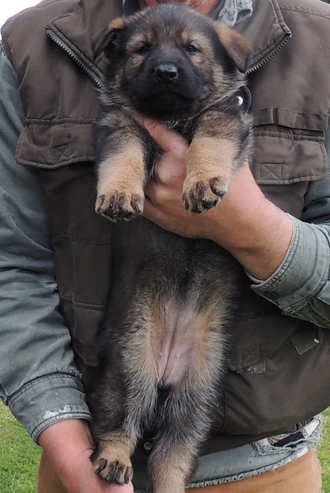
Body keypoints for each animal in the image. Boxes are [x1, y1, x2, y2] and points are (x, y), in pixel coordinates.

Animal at [90, 4, 253, 492]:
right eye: (142, 49)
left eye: (192, 49)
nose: (166, 72)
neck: (173, 117)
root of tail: (164, 372)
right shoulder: (119, 126)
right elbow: (122, 155)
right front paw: (119, 193)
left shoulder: (224, 118)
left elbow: (210, 141)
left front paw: (202, 180)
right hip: (130, 364)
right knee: (117, 424)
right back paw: (114, 459)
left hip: (199, 394)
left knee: (174, 453)